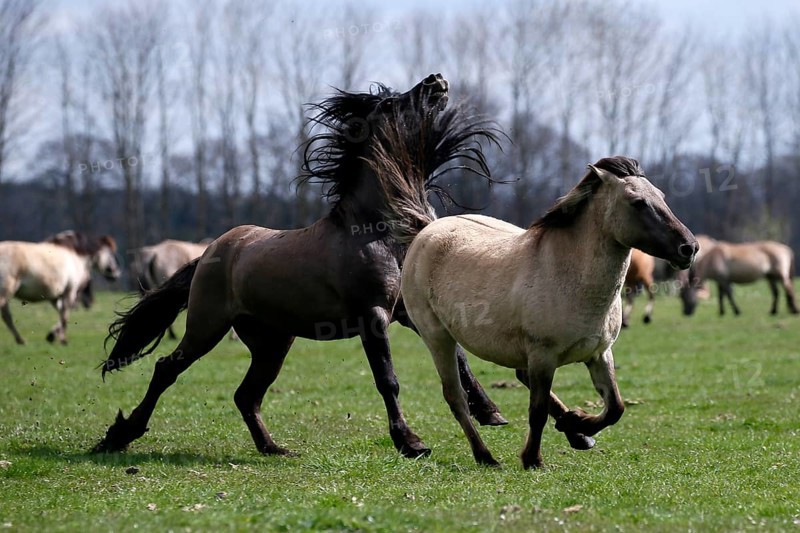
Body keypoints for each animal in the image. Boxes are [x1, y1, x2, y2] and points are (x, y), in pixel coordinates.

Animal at [92, 74, 508, 459]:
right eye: (390, 103)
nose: (435, 80)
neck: (375, 233)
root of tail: (212, 252)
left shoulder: (407, 311)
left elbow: (459, 359)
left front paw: (490, 411)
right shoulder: (372, 316)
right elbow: (387, 379)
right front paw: (410, 442)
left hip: (273, 342)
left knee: (245, 394)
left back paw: (273, 448)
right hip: (207, 327)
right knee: (167, 369)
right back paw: (120, 435)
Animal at [376, 154, 697, 469]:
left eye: (661, 196)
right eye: (637, 202)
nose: (689, 248)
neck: (569, 275)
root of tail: (427, 230)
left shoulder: (599, 353)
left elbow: (614, 407)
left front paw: (577, 422)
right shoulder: (543, 356)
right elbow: (537, 410)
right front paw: (532, 458)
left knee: (517, 377)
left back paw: (576, 434)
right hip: (438, 338)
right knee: (456, 398)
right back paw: (485, 456)